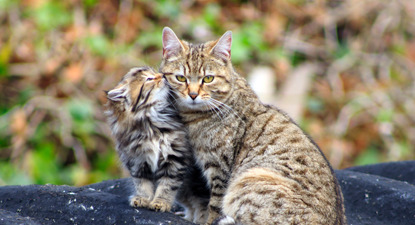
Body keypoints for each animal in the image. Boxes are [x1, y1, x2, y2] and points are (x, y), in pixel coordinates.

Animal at [103, 66, 208, 223]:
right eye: (149, 79)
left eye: (155, 73)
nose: (163, 75)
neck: (151, 126)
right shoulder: (137, 160)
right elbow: (142, 184)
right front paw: (143, 199)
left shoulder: (175, 159)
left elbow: (167, 185)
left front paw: (160, 202)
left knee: (201, 203)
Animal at [159, 27, 348, 224]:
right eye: (181, 78)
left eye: (208, 78)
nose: (193, 95)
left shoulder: (220, 168)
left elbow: (214, 205)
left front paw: (206, 219)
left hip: (251, 178)